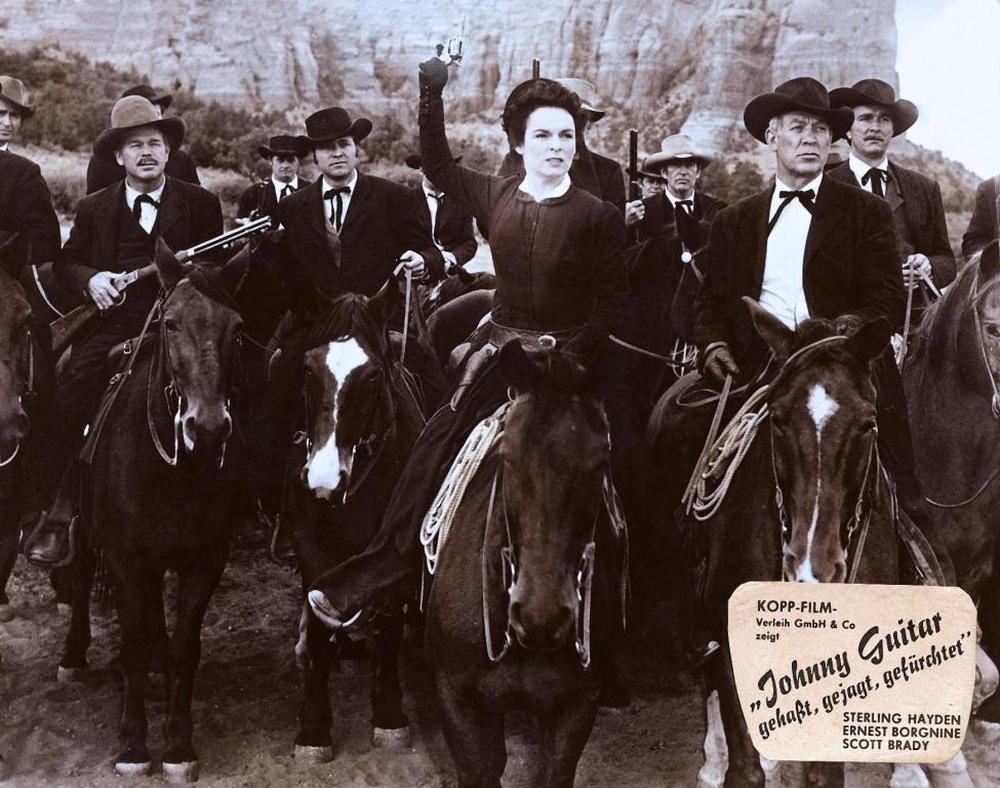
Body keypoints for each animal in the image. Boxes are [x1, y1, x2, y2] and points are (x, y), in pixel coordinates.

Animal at [57, 238, 247, 781]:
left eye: (237, 328)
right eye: (171, 324)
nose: (208, 429)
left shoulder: (205, 559)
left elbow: (186, 646)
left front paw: (178, 743)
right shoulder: (124, 559)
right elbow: (133, 643)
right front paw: (135, 744)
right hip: (87, 533)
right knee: (81, 576)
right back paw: (74, 652)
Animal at [284, 280, 451, 761]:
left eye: (372, 376)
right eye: (308, 368)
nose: (323, 479)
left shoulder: (391, 547)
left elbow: (390, 623)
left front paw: (390, 715)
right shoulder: (310, 542)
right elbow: (318, 625)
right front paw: (313, 728)